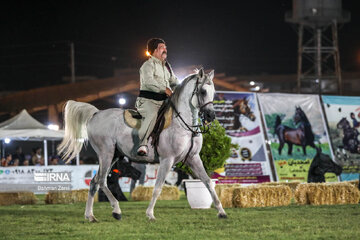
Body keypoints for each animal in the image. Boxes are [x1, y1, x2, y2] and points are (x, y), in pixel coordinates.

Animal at [58, 68, 228, 222]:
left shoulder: (193, 158)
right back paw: (116, 210)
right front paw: (150, 214)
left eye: (213, 92)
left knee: (94, 182)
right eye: (203, 91)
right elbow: (158, 187)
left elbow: (208, 183)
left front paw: (221, 212)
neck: (183, 124)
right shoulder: (167, 160)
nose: (211, 115)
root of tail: (96, 114)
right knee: (101, 181)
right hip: (106, 154)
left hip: (114, 156)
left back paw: (90, 216)